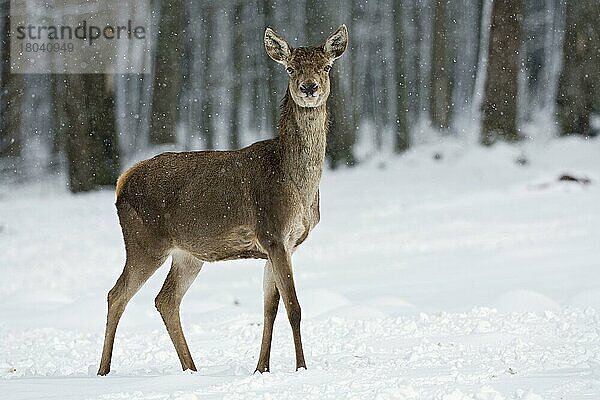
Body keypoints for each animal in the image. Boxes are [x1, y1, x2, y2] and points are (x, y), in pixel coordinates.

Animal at [96, 24, 350, 376]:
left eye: (326, 67)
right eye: (290, 68)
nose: (309, 87)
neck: (298, 187)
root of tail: (122, 182)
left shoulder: (283, 244)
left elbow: (270, 307)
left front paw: (262, 368)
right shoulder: (273, 232)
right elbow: (294, 307)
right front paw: (301, 368)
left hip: (187, 254)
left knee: (165, 299)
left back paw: (191, 369)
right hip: (144, 241)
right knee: (116, 294)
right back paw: (103, 371)